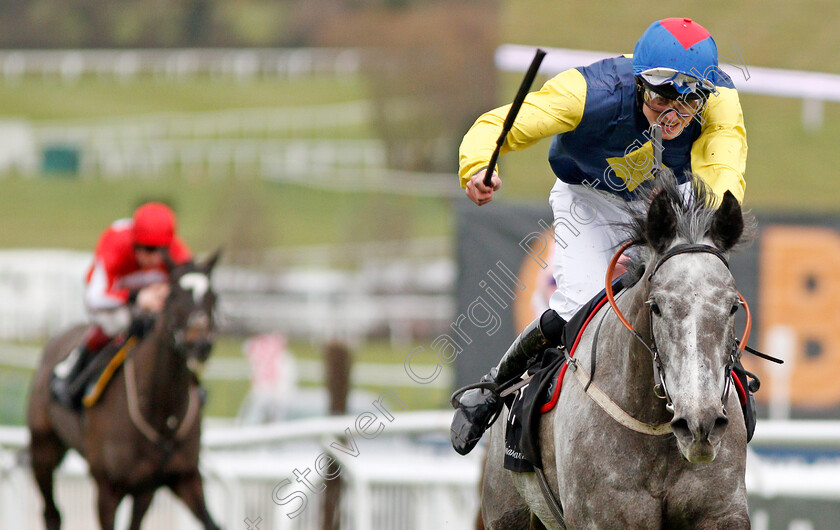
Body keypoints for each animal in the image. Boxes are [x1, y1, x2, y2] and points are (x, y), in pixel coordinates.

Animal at [27, 252, 220, 528]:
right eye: (173, 295)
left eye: (214, 296)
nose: (199, 343)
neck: (162, 415)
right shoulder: (107, 489)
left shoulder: (180, 478)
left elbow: (212, 522)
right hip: (43, 448)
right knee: (51, 513)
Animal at [482, 178, 752, 528]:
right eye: (656, 306)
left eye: (733, 306)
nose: (700, 425)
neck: (656, 430)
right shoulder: (602, 518)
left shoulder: (721, 512)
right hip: (506, 509)